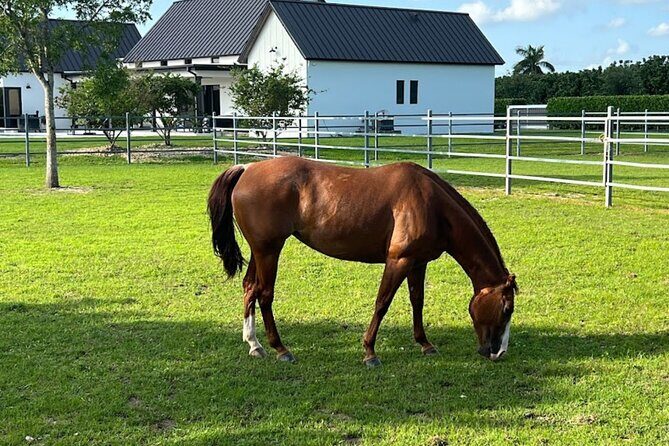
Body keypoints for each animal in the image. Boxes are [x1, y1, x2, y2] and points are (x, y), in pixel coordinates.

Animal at [208, 157, 517, 367]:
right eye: (506, 309)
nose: (498, 352)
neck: (431, 204)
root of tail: (247, 168)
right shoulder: (399, 261)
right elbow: (382, 303)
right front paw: (370, 352)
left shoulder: (418, 263)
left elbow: (417, 301)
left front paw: (425, 343)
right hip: (269, 250)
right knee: (265, 294)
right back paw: (280, 349)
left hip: (261, 250)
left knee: (250, 288)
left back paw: (254, 344)